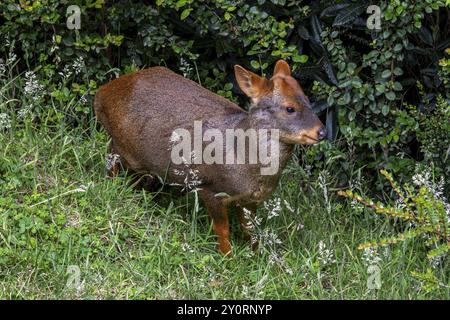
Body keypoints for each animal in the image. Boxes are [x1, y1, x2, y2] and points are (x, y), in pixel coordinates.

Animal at [95, 60, 326, 255]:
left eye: (308, 100)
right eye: (290, 108)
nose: (322, 132)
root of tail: (100, 94)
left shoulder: (250, 200)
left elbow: (251, 229)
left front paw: (256, 255)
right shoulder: (210, 188)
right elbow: (222, 230)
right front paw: (227, 258)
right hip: (121, 146)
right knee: (111, 162)